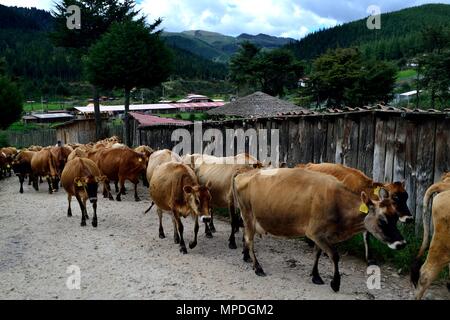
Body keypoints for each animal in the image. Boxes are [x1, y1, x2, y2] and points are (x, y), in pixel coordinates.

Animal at [234, 169, 406, 292]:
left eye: (396, 218)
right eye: (382, 220)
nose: (402, 243)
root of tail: (243, 174)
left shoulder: (321, 236)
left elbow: (317, 253)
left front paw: (315, 276)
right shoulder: (315, 232)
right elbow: (334, 256)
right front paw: (335, 283)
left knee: (246, 238)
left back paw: (247, 258)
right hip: (248, 215)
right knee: (249, 240)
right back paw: (258, 267)